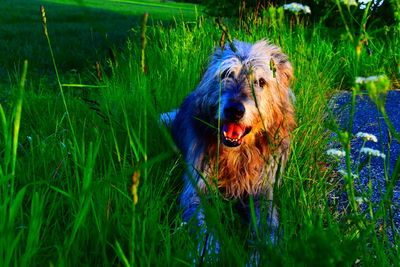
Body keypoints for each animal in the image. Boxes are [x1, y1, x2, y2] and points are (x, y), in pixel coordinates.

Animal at [171, 40, 294, 245]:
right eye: (226, 74)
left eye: (261, 81)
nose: (234, 110)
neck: (237, 155)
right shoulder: (195, 190)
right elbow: (203, 229)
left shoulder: (262, 189)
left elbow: (268, 223)